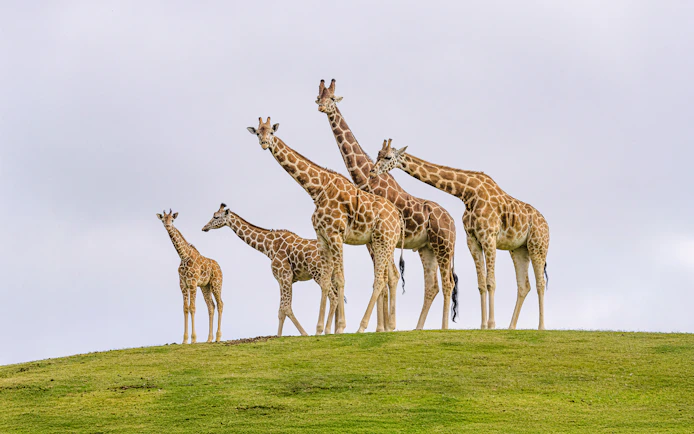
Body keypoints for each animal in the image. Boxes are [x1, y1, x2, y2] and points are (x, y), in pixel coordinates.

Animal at [156, 209, 224, 343]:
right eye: (163, 219)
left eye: (172, 219)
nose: (167, 225)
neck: (183, 256)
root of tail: (220, 268)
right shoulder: (183, 284)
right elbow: (185, 308)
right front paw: (185, 340)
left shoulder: (192, 283)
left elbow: (192, 307)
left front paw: (193, 339)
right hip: (205, 286)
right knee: (211, 306)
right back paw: (209, 339)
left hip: (216, 283)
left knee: (220, 304)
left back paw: (218, 337)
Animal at [202, 203, 338, 337]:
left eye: (216, 217)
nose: (204, 227)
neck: (269, 246)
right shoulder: (281, 279)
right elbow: (281, 311)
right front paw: (278, 336)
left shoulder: (285, 275)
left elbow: (286, 308)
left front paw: (304, 334)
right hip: (329, 273)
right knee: (336, 295)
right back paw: (332, 330)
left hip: (318, 273)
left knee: (331, 295)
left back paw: (323, 330)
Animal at [246, 117, 404, 333]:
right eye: (257, 132)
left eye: (271, 132)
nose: (263, 143)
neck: (317, 189)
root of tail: (398, 216)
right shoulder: (322, 237)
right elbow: (325, 282)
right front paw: (320, 329)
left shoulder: (336, 235)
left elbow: (339, 278)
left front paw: (340, 328)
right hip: (381, 242)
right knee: (392, 276)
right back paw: (389, 327)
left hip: (384, 240)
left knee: (380, 279)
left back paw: (362, 328)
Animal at [316, 79, 460, 329]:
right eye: (318, 97)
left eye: (332, 98)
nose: (322, 107)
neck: (366, 178)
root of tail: (453, 222)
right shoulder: (373, 240)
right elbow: (384, 277)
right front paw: (381, 327)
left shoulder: (381, 238)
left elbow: (385, 277)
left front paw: (382, 327)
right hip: (427, 248)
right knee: (432, 285)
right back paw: (417, 328)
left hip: (444, 246)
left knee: (448, 283)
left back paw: (442, 328)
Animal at [371, 140, 550, 330]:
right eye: (378, 155)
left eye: (388, 157)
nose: (372, 171)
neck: (467, 193)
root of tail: (546, 225)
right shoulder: (472, 240)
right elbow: (481, 283)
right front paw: (483, 325)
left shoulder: (489, 237)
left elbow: (491, 281)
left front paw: (492, 324)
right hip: (519, 249)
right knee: (524, 285)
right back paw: (511, 327)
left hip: (537, 245)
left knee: (540, 283)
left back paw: (541, 327)